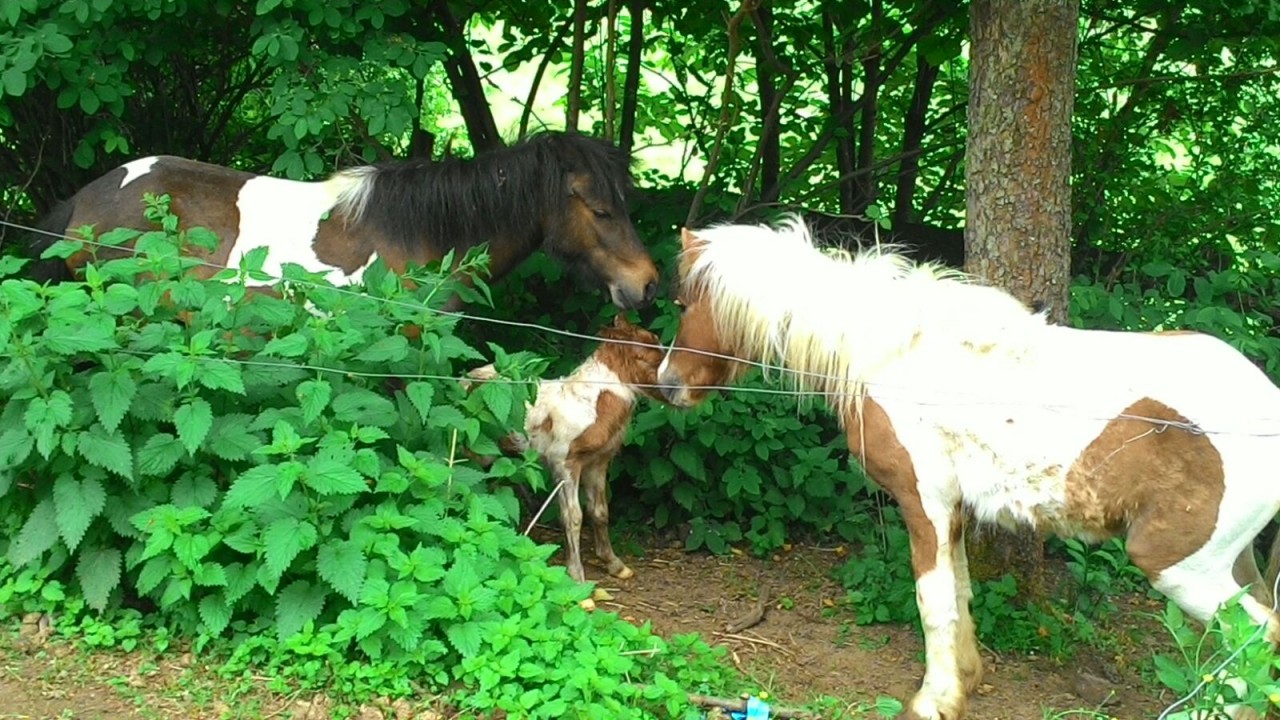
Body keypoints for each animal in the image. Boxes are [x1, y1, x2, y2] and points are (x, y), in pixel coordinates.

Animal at [471, 313, 670, 589]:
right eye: (649, 354)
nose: (678, 387)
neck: (591, 406)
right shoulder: (564, 463)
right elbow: (572, 516)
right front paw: (576, 576)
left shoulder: (598, 462)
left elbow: (599, 511)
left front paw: (615, 565)